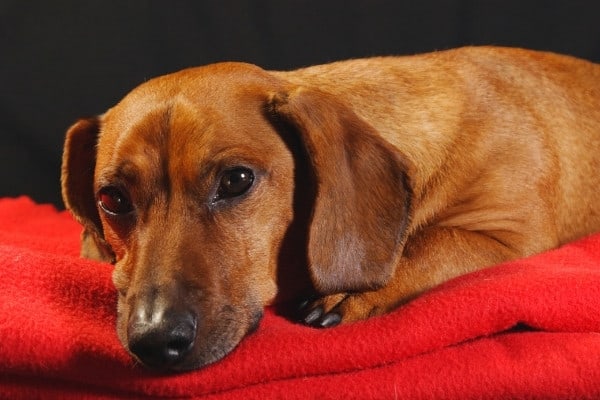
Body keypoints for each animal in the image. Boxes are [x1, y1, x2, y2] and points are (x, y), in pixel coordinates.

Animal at [59, 47, 600, 372]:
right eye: (112, 199)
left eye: (236, 180)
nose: (154, 341)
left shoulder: (510, 235)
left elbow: (431, 240)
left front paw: (351, 292)